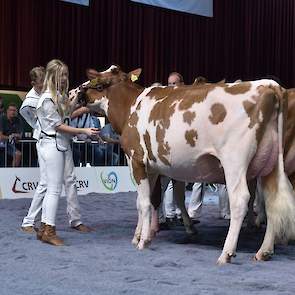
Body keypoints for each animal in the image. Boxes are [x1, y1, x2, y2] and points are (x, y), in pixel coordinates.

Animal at [82, 66, 295, 264]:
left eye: (98, 85)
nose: (80, 92)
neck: (132, 106)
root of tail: (270, 86)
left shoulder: (136, 159)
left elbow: (144, 202)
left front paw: (143, 241)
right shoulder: (152, 167)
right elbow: (148, 200)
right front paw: (139, 235)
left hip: (234, 161)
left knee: (240, 200)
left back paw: (226, 253)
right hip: (271, 164)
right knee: (272, 201)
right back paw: (264, 251)